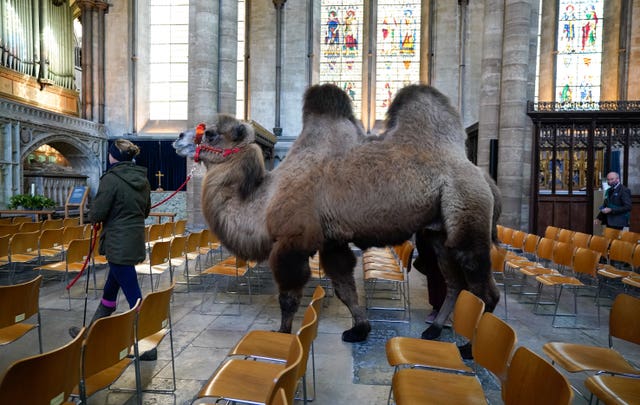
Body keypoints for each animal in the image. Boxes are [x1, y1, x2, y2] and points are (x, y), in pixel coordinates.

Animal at [174, 83, 500, 342]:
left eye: (211, 134)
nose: (178, 138)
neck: (263, 200)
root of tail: (482, 175)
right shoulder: (332, 241)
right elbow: (345, 287)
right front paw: (360, 329)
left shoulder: (292, 241)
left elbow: (288, 297)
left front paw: (282, 335)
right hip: (438, 231)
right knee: (455, 280)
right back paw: (433, 330)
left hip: (467, 208)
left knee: (480, 283)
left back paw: (470, 346)